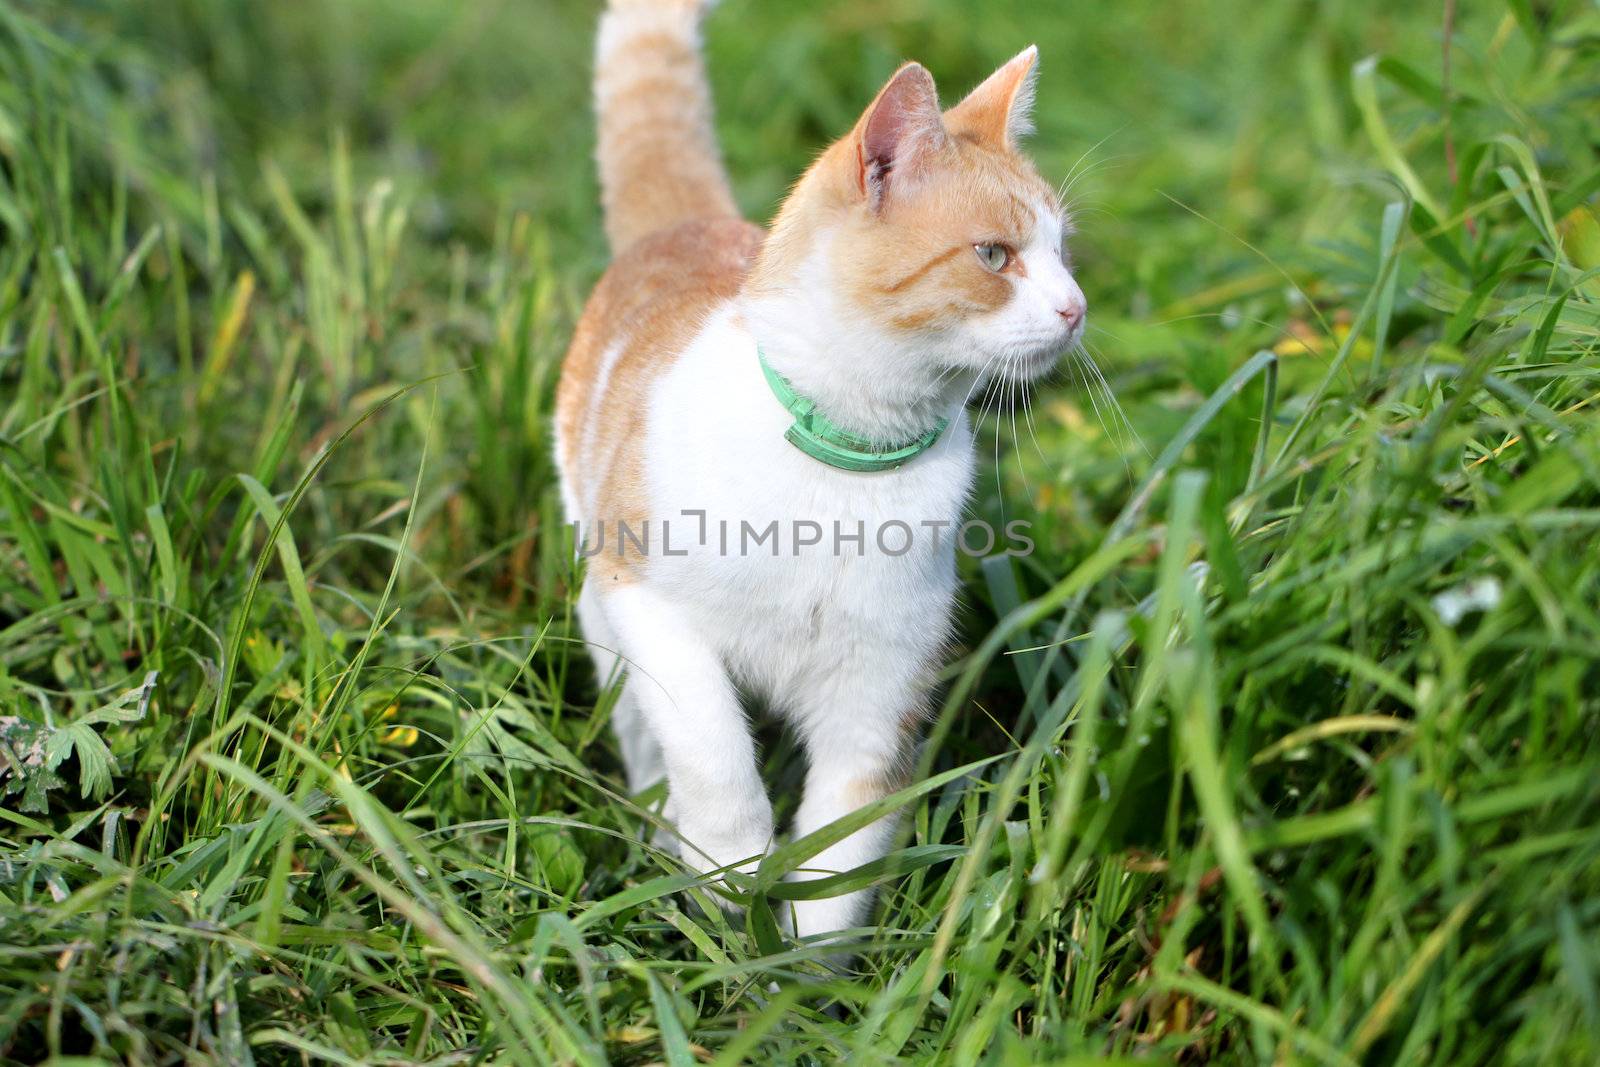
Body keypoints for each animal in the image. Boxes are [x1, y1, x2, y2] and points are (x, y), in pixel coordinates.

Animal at [553, 0, 1088, 940]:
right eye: (995, 256)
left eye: (1065, 253)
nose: (1077, 309)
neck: (848, 460)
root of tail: (681, 227)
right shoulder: (651, 608)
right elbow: (716, 756)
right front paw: (728, 886)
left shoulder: (878, 691)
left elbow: (840, 860)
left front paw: (795, 973)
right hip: (601, 613)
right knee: (645, 735)